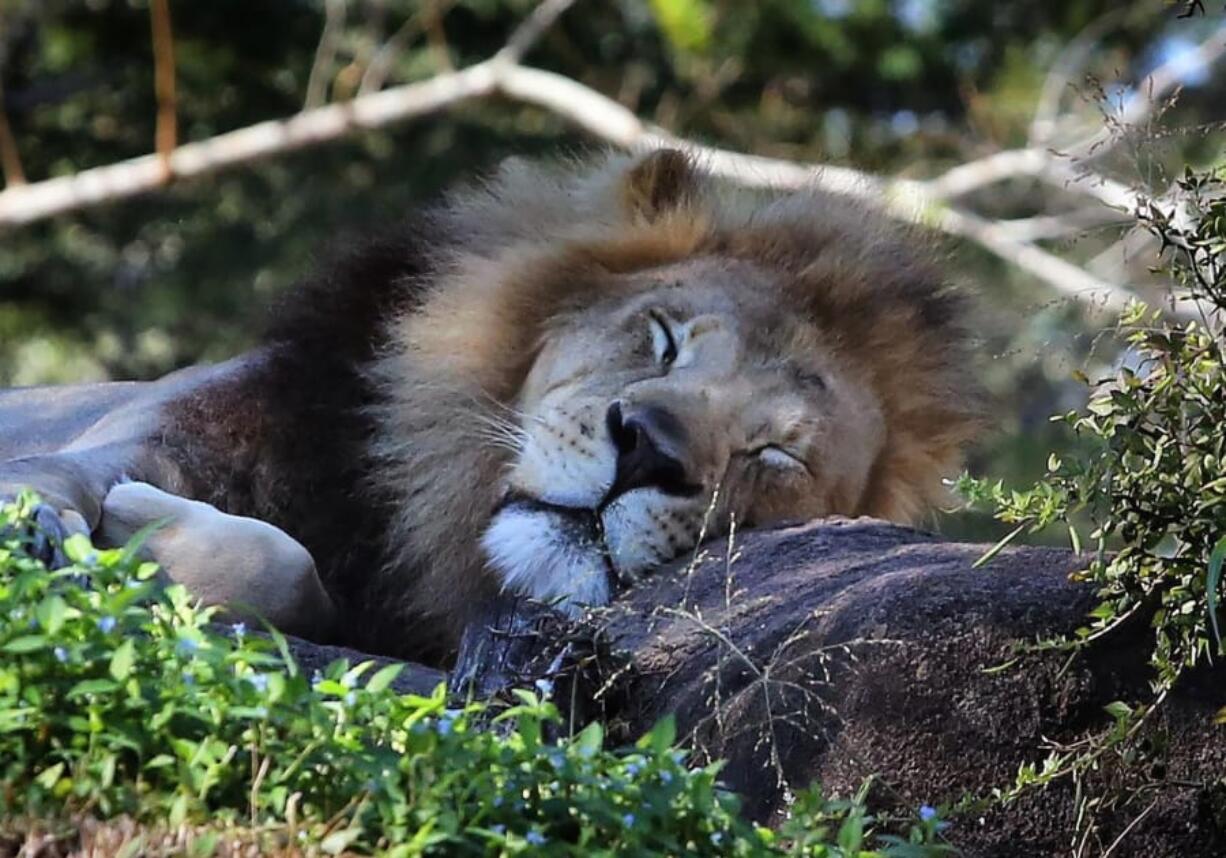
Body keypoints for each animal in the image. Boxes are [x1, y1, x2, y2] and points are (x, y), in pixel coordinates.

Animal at [0, 148, 980, 661]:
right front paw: (67, 524)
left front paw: (143, 539)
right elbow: (68, 478)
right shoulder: (172, 431)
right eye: (664, 338)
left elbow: (286, 570)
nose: (648, 448)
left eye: (775, 455)